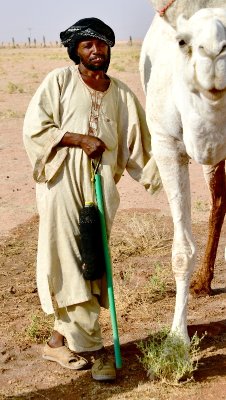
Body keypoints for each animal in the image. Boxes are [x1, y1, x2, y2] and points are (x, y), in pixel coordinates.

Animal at [140, 2, 226, 340]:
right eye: (182, 41)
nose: (214, 51)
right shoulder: (167, 143)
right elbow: (181, 251)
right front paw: (178, 336)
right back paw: (203, 282)